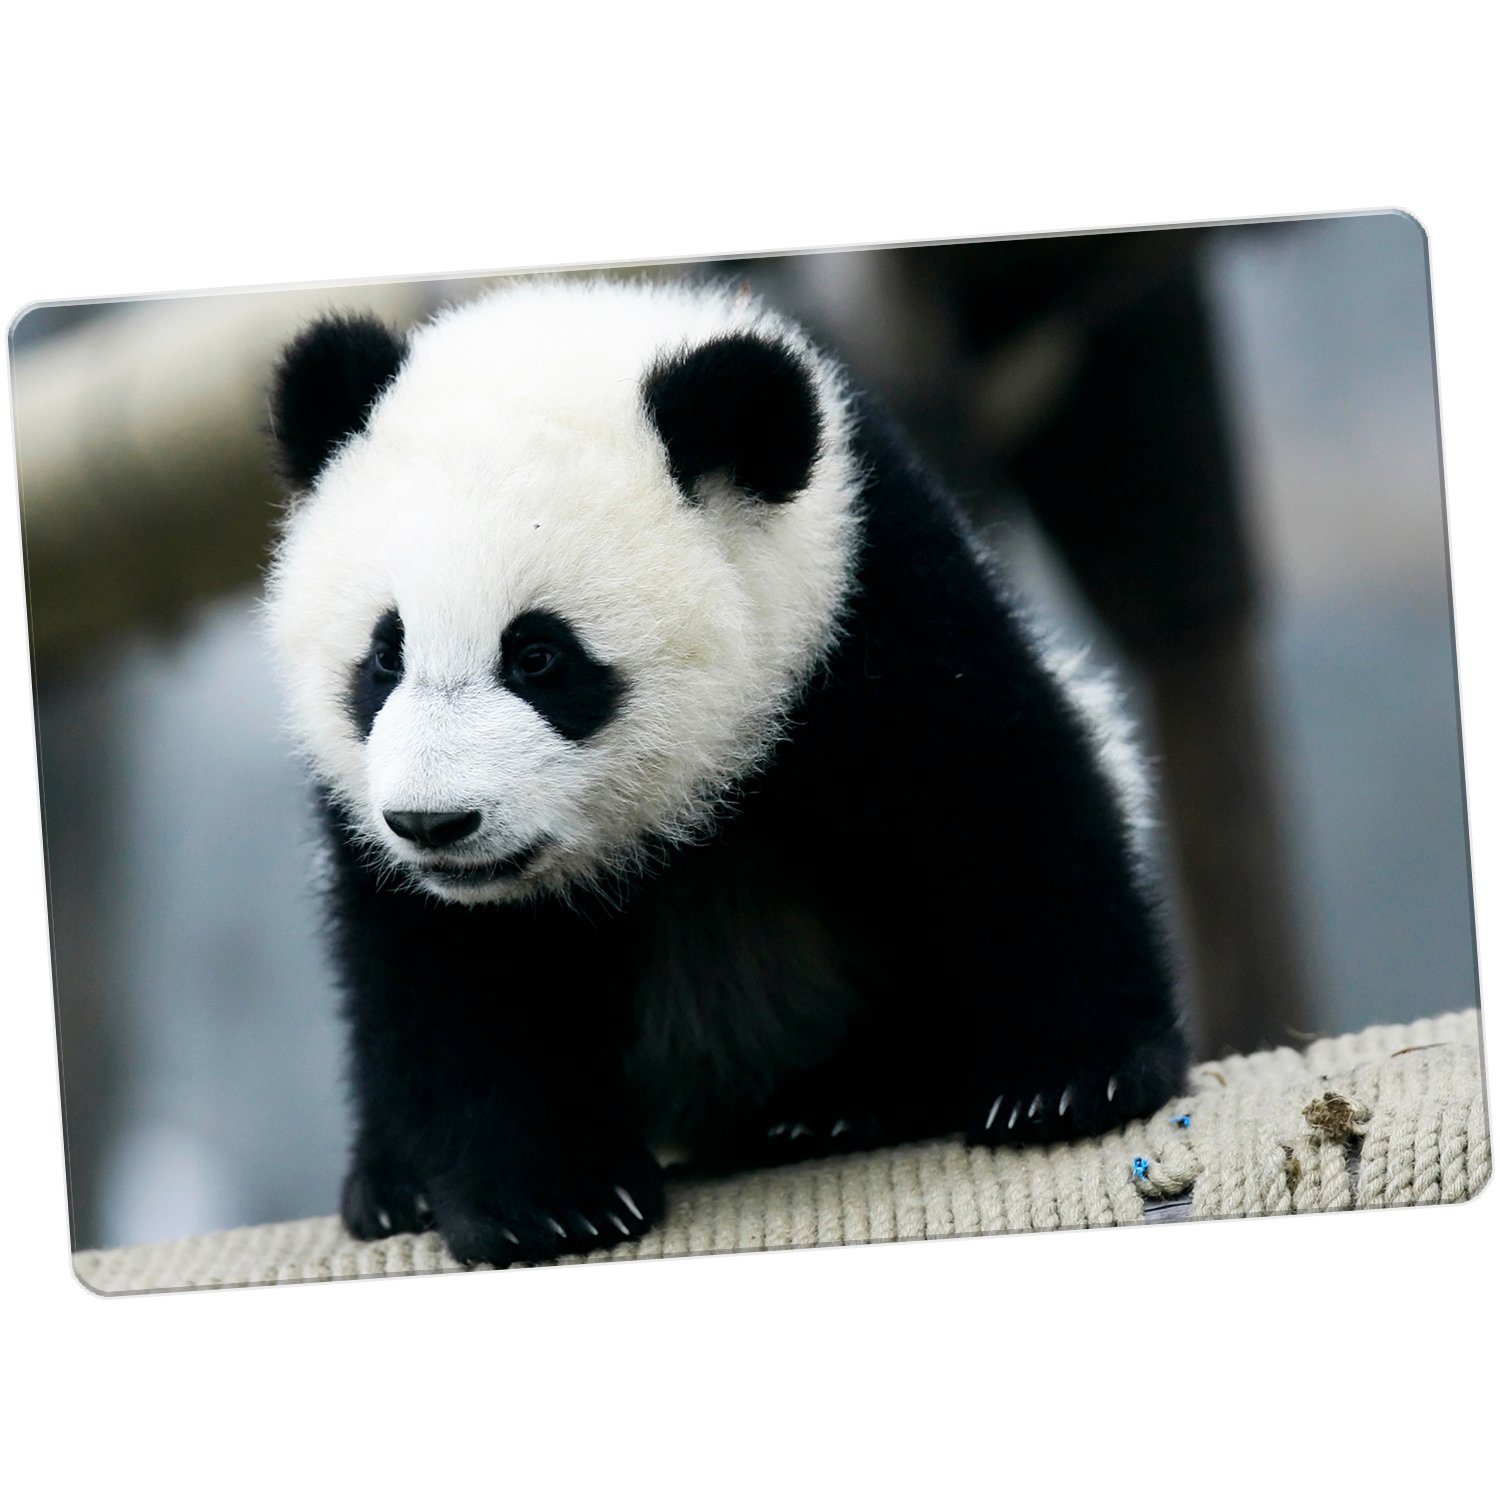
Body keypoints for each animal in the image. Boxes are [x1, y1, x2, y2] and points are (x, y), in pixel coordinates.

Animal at [264, 276, 1187, 1268]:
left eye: (539, 657)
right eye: (384, 656)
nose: (436, 825)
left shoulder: (869, 609)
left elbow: (997, 804)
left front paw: (1075, 1078)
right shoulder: (372, 823)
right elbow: (449, 968)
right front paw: (545, 1200)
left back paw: (854, 1093)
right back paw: (390, 1186)